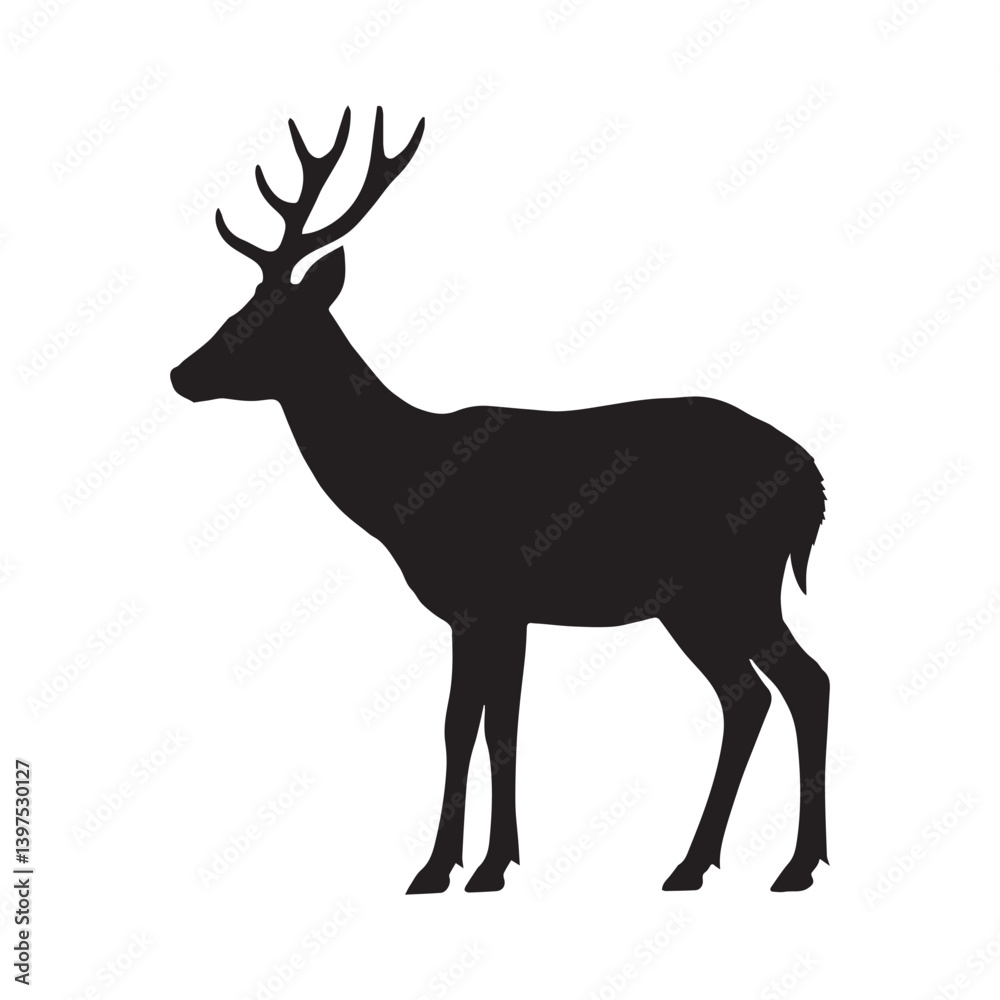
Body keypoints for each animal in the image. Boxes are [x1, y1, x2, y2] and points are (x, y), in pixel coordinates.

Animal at [171, 108, 830, 894]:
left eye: (267, 317)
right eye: (238, 305)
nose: (180, 372)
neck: (404, 488)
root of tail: (815, 481)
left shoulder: (486, 598)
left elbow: (470, 725)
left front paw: (450, 867)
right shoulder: (500, 611)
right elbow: (495, 725)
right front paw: (488, 860)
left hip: (731, 582)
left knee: (796, 685)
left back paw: (786, 865)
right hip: (705, 598)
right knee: (755, 694)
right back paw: (707, 863)